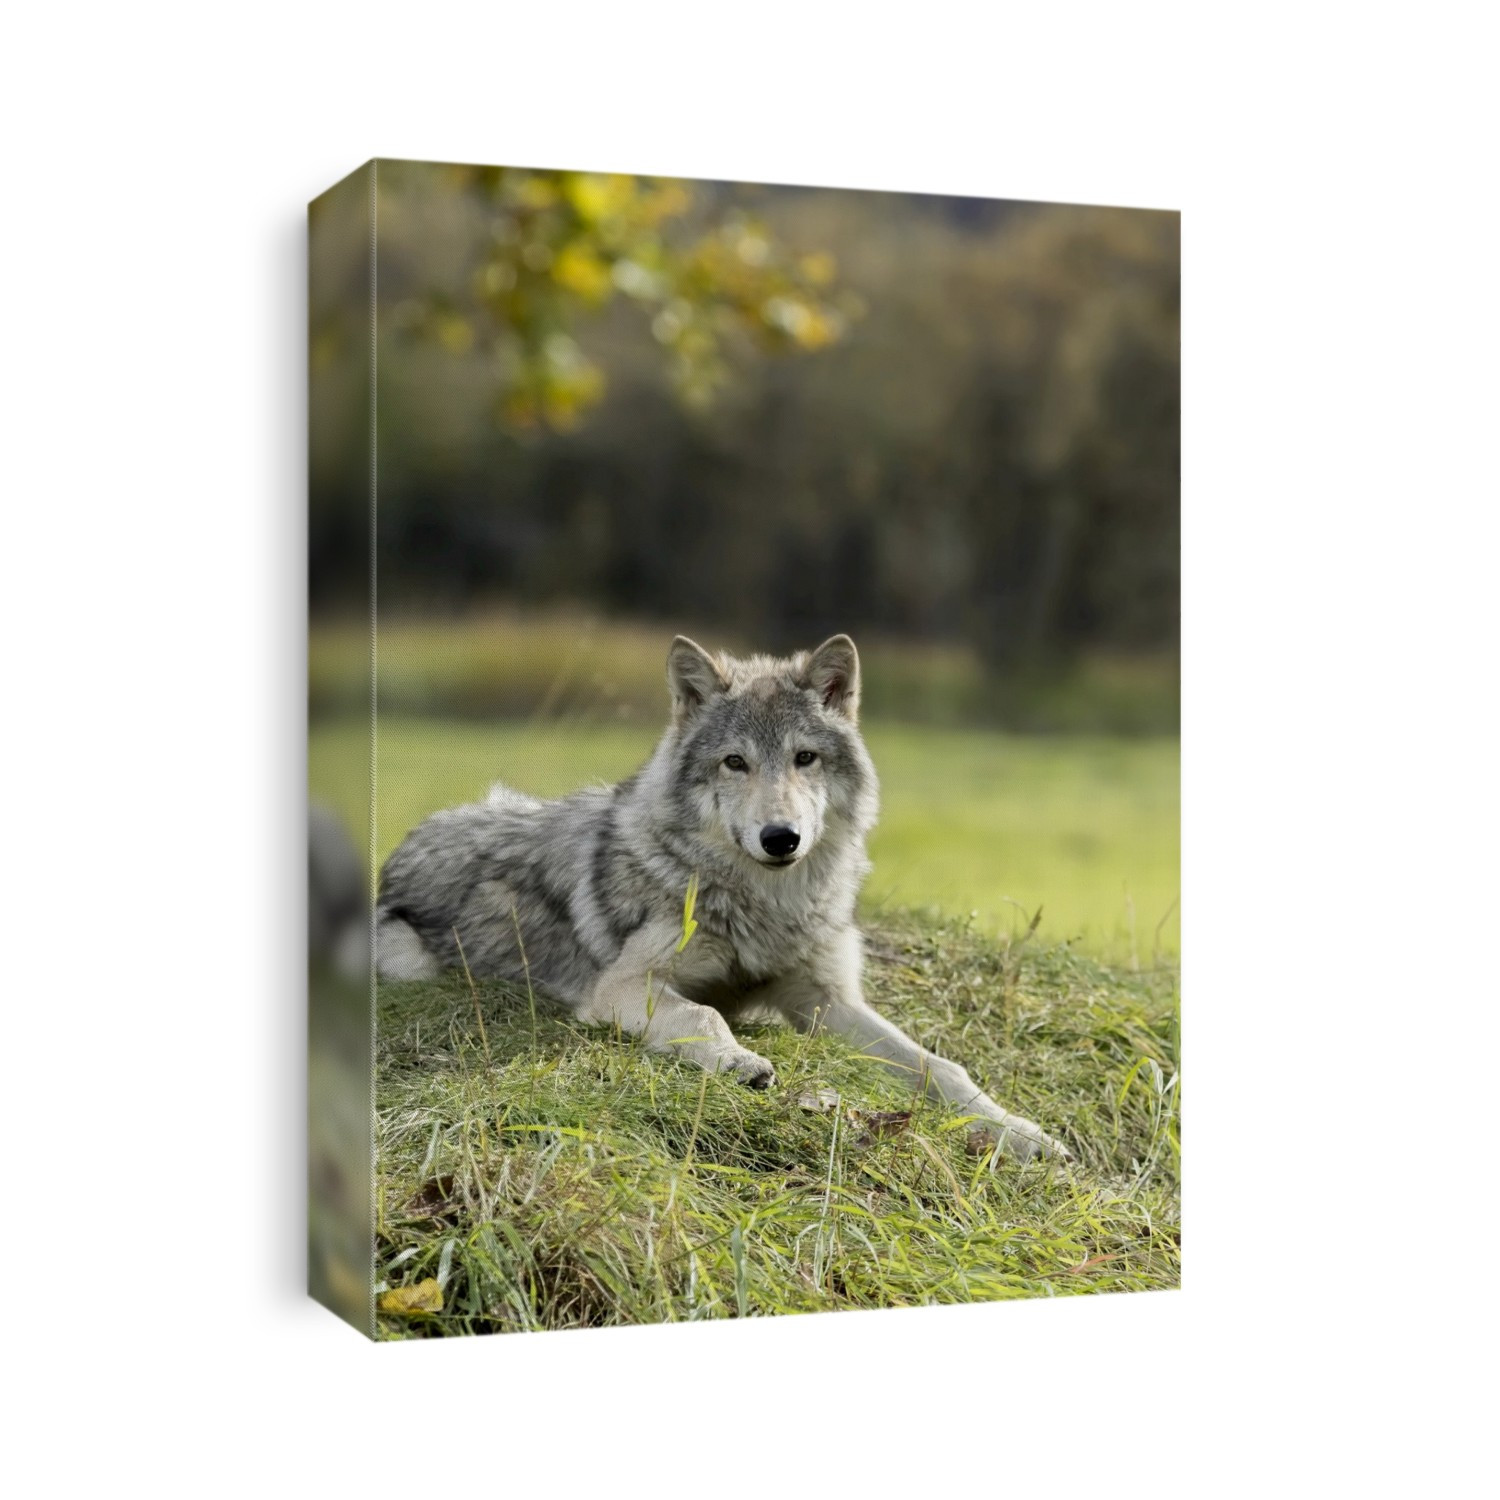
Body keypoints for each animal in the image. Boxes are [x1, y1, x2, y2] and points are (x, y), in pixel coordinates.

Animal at [376, 634, 1067, 1160]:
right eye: (735, 762)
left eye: (804, 758)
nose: (781, 837)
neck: (768, 905)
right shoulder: (621, 986)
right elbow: (703, 1014)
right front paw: (739, 1061)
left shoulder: (827, 1000)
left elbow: (938, 1067)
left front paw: (1022, 1133)